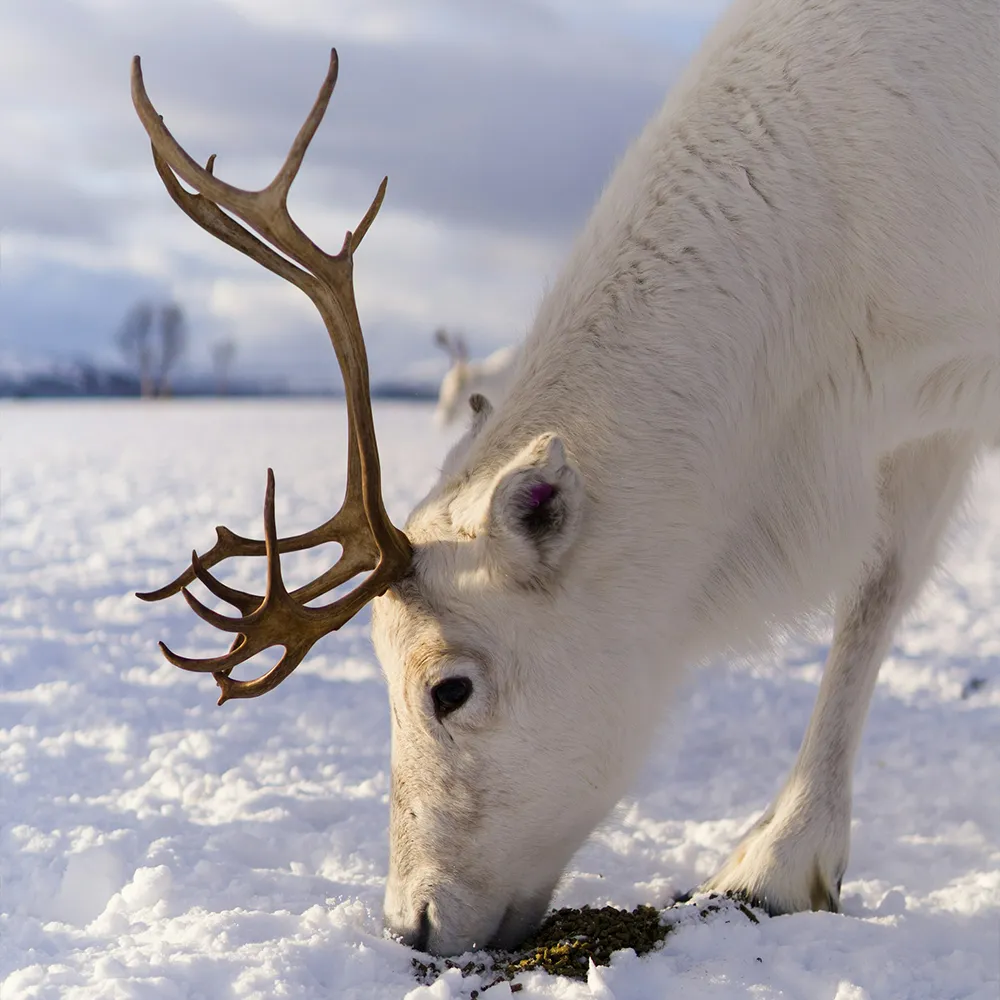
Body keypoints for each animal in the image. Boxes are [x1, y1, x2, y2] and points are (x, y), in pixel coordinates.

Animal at [131, 0, 999, 959]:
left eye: (451, 689)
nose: (410, 923)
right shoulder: (917, 415)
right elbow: (877, 592)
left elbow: (873, 602)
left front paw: (777, 865)